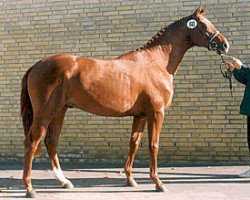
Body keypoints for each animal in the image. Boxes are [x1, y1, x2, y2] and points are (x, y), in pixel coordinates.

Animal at [21, 6, 229, 198]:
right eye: (204, 25)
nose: (224, 45)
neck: (156, 63)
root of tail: (37, 65)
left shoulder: (141, 115)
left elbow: (134, 143)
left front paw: (130, 179)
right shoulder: (156, 113)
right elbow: (154, 145)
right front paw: (158, 183)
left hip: (59, 111)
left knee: (51, 142)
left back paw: (64, 182)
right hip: (44, 114)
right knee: (32, 142)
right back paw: (30, 188)